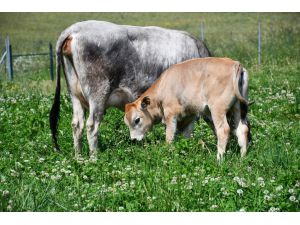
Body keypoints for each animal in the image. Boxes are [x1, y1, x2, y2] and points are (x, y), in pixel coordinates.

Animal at [49, 20, 211, 159]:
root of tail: (74, 28)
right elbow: (185, 131)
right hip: (98, 94)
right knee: (92, 125)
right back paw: (94, 158)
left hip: (75, 95)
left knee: (77, 125)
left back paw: (79, 158)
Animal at [123, 57, 251, 161]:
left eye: (137, 120)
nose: (133, 140)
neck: (163, 86)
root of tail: (234, 63)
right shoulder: (190, 116)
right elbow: (186, 136)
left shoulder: (170, 114)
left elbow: (169, 137)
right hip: (237, 108)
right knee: (242, 129)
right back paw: (242, 158)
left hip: (217, 109)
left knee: (223, 130)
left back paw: (219, 159)